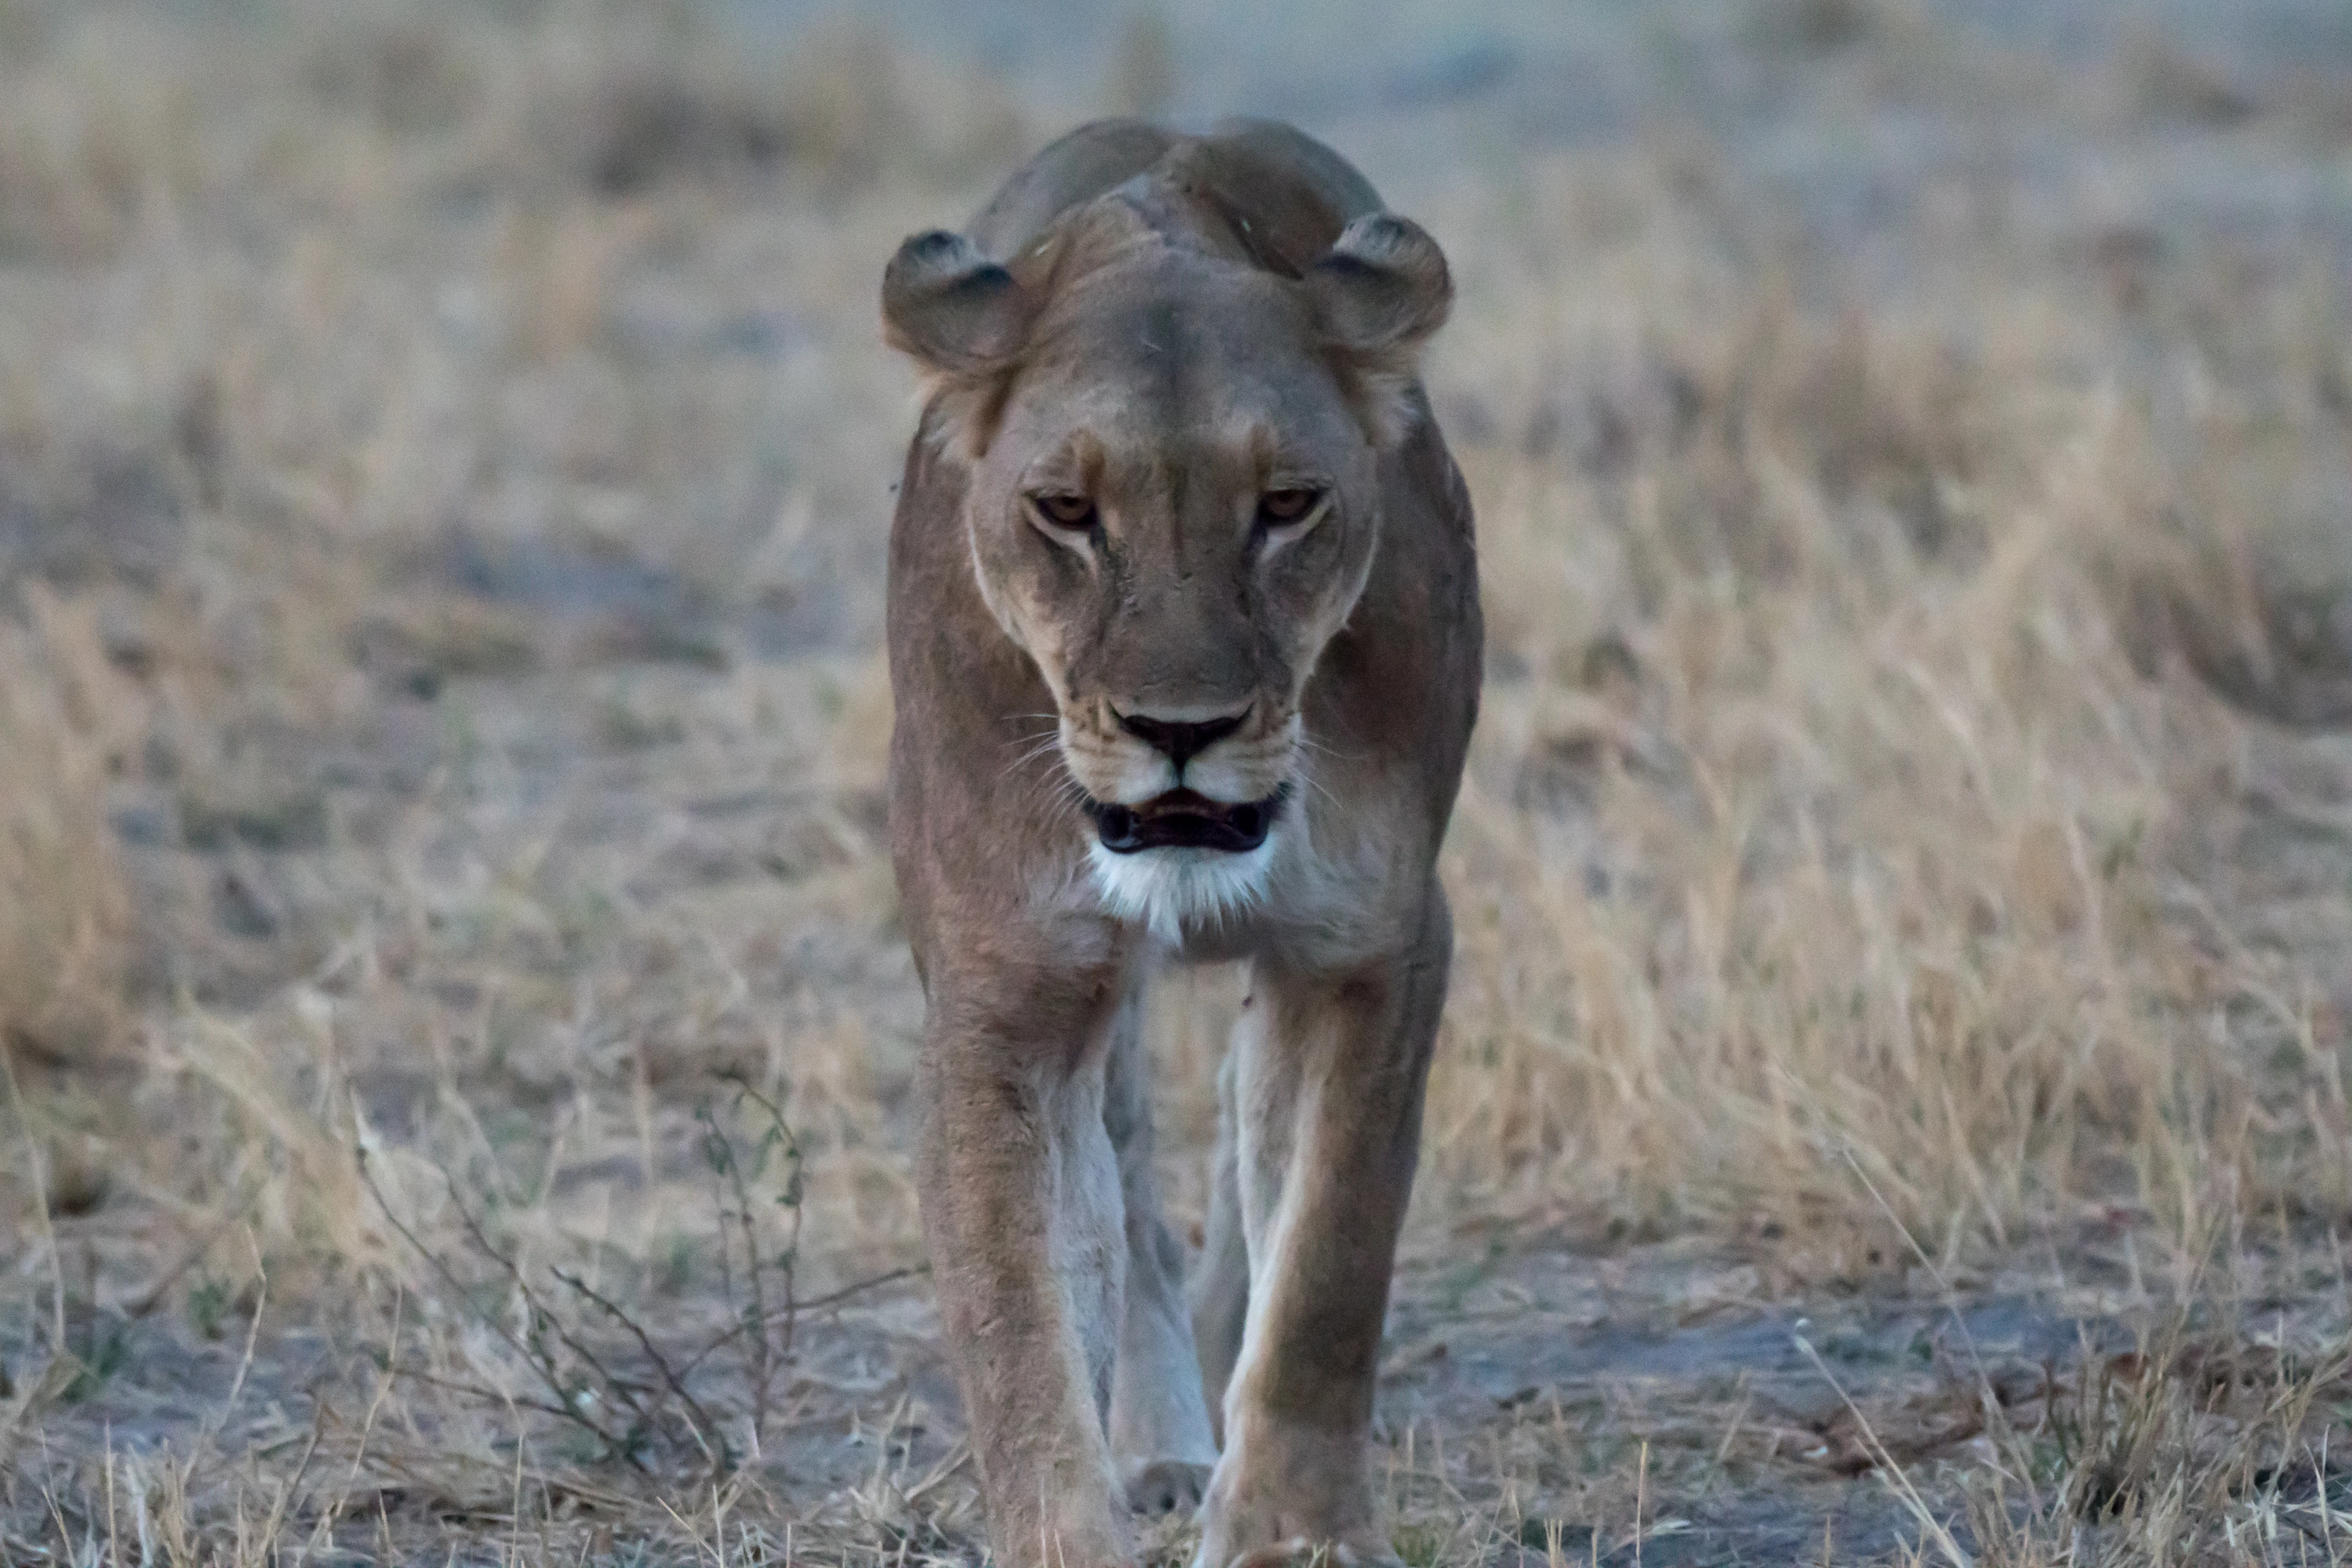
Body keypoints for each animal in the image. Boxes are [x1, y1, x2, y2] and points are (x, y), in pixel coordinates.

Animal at [880, 118, 1480, 1568]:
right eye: (1063, 510)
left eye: (1286, 503)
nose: (1180, 730)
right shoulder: (1003, 989)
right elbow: (1022, 1315)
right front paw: (1073, 1526)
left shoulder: (1372, 945)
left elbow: (1325, 1258)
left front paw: (1288, 1533)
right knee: (1136, 1190)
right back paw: (1158, 1438)